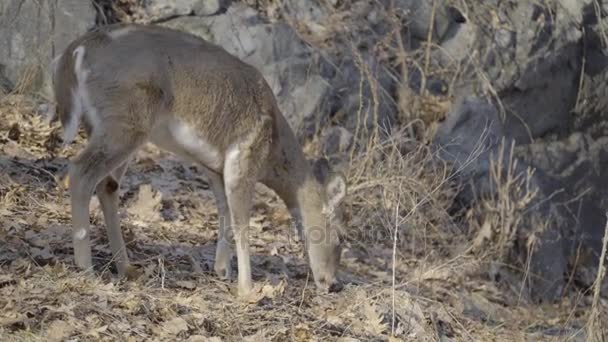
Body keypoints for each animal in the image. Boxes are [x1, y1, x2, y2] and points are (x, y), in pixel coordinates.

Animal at [50, 23, 346, 296]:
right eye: (341, 239)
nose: (333, 283)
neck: (273, 155)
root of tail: (78, 49)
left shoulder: (214, 168)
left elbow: (224, 211)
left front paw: (222, 270)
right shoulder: (243, 157)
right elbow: (242, 223)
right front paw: (247, 289)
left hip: (113, 125)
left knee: (107, 185)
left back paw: (126, 268)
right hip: (124, 120)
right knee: (79, 172)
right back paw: (86, 268)